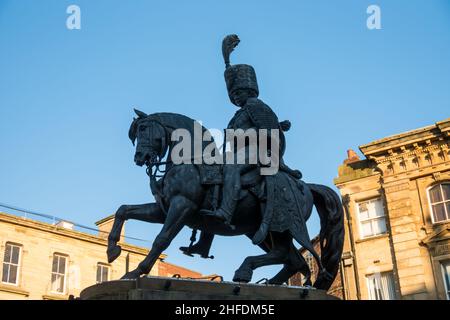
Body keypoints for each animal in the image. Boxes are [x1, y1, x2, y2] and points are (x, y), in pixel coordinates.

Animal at [106, 110, 344, 290]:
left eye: (144, 129)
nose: (140, 158)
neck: (189, 161)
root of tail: (306, 186)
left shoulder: (182, 206)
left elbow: (161, 239)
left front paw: (136, 272)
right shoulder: (162, 209)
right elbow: (123, 210)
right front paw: (112, 250)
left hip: (278, 227)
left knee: (286, 254)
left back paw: (246, 271)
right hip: (264, 231)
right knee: (293, 259)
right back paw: (270, 282)